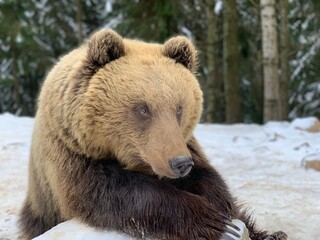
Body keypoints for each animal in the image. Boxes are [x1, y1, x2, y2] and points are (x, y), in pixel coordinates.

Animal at [18, 28, 288, 240]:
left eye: (179, 107)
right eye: (143, 108)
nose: (180, 163)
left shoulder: (184, 143)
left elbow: (209, 178)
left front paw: (222, 207)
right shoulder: (71, 152)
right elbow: (112, 191)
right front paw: (210, 221)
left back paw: (273, 234)